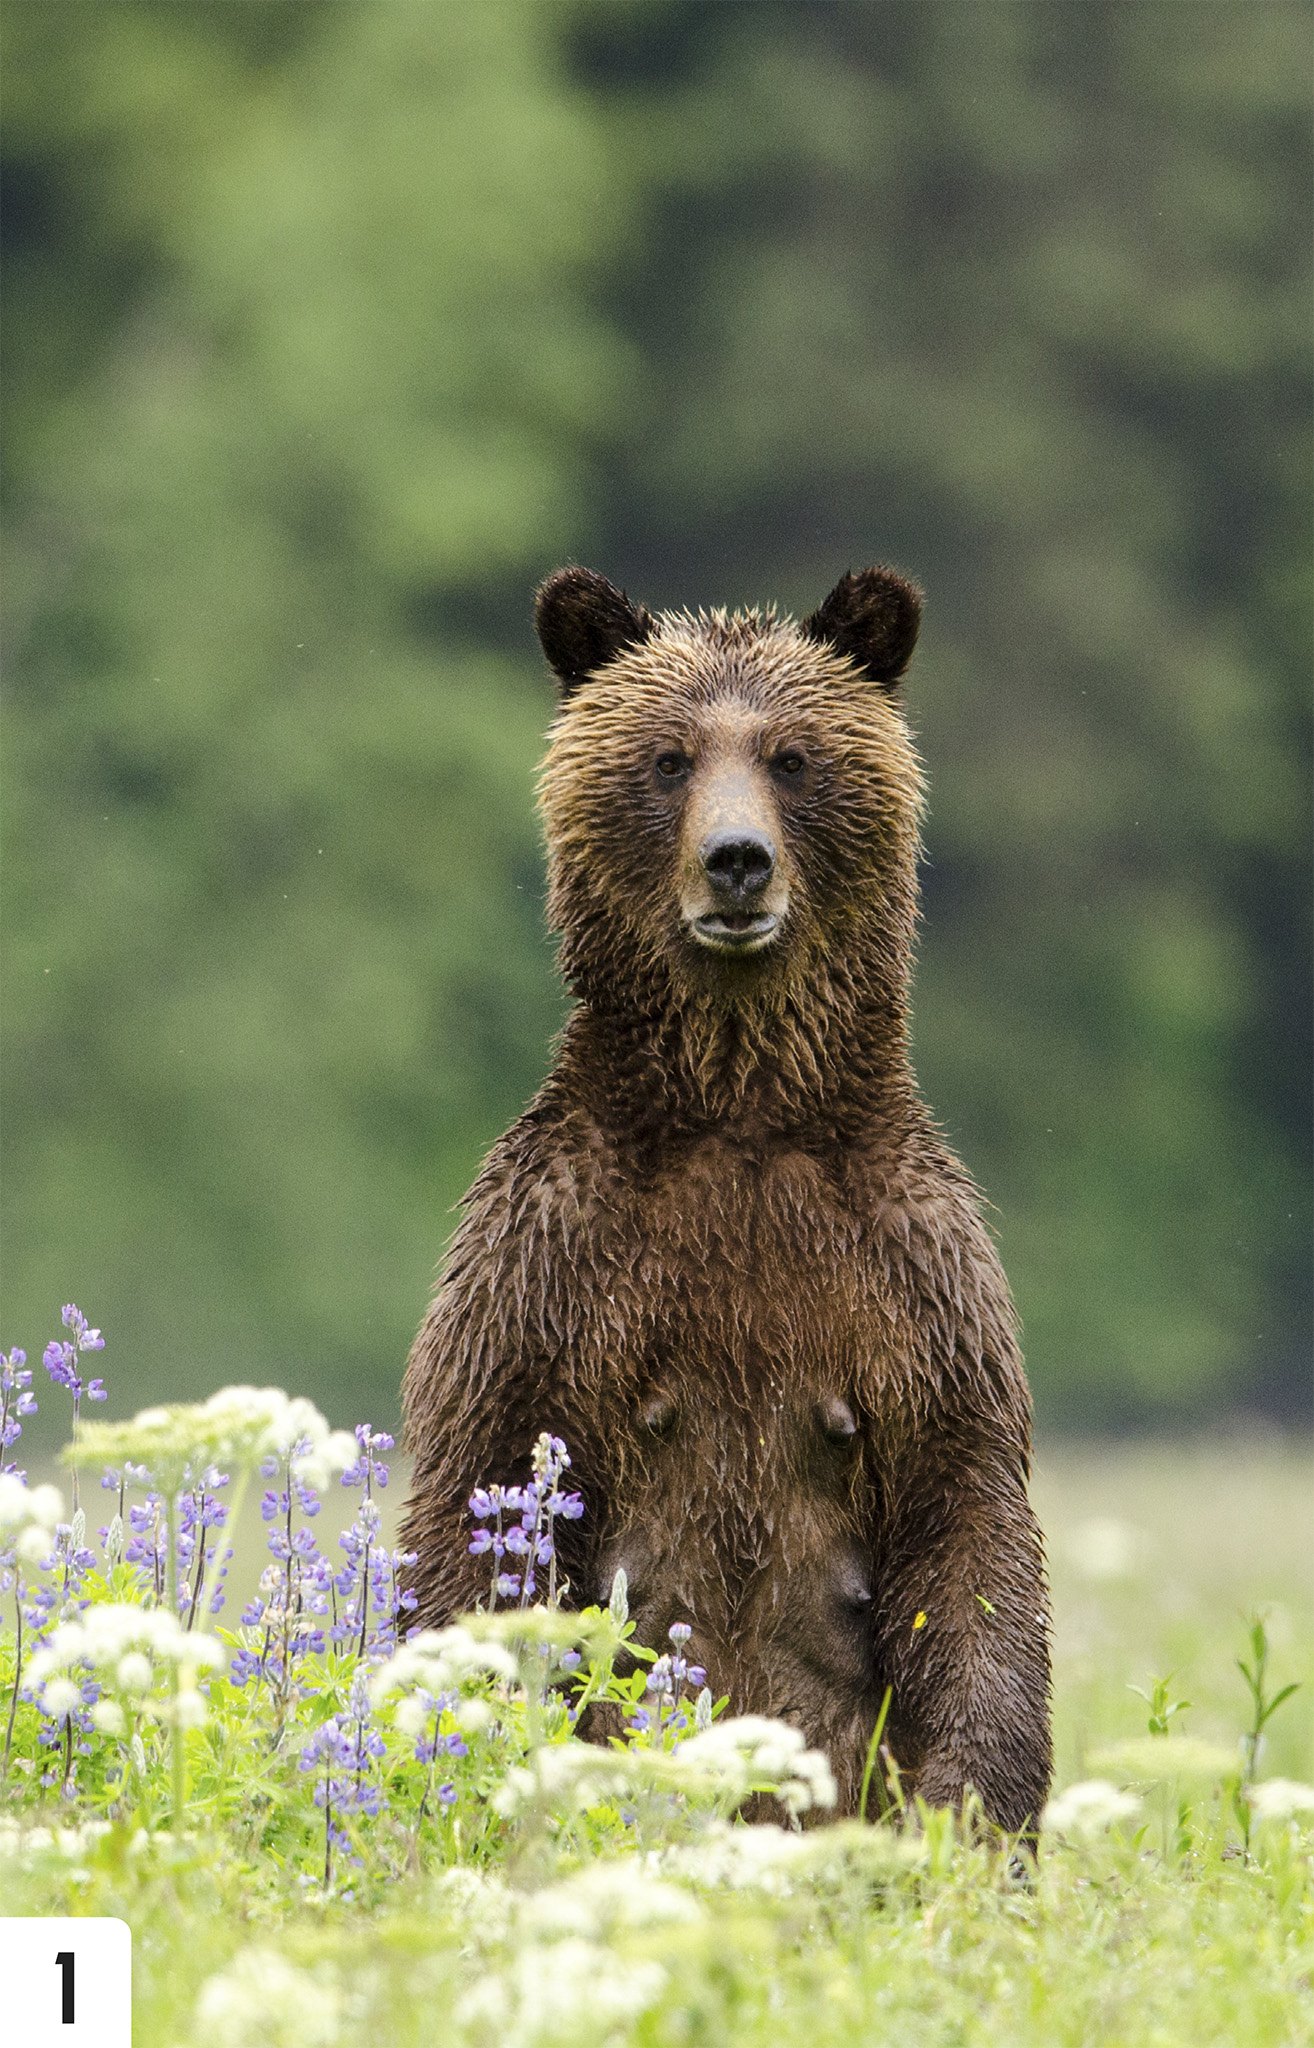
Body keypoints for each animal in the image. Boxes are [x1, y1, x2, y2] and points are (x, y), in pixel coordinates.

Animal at [399, 569, 1043, 1835]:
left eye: (793, 756)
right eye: (667, 757)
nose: (737, 861)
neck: (739, 1105)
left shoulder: (914, 1272)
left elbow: (970, 1532)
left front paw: (968, 1815)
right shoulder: (548, 1253)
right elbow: (472, 1500)